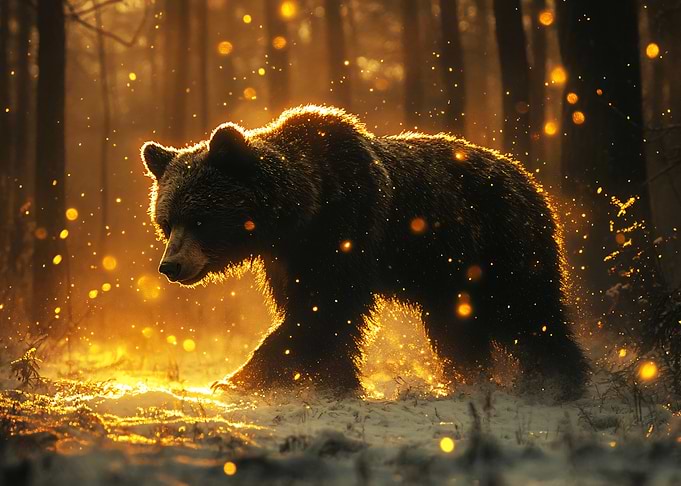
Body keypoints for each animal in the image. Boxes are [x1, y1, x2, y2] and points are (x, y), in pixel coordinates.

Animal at [141, 105, 589, 399]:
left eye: (199, 218)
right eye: (166, 221)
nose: (170, 266)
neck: (301, 212)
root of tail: (528, 178)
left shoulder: (348, 226)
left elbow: (325, 306)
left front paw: (235, 379)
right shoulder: (287, 257)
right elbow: (311, 310)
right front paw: (333, 379)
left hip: (500, 244)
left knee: (528, 310)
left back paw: (557, 380)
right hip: (451, 276)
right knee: (458, 326)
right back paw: (470, 379)